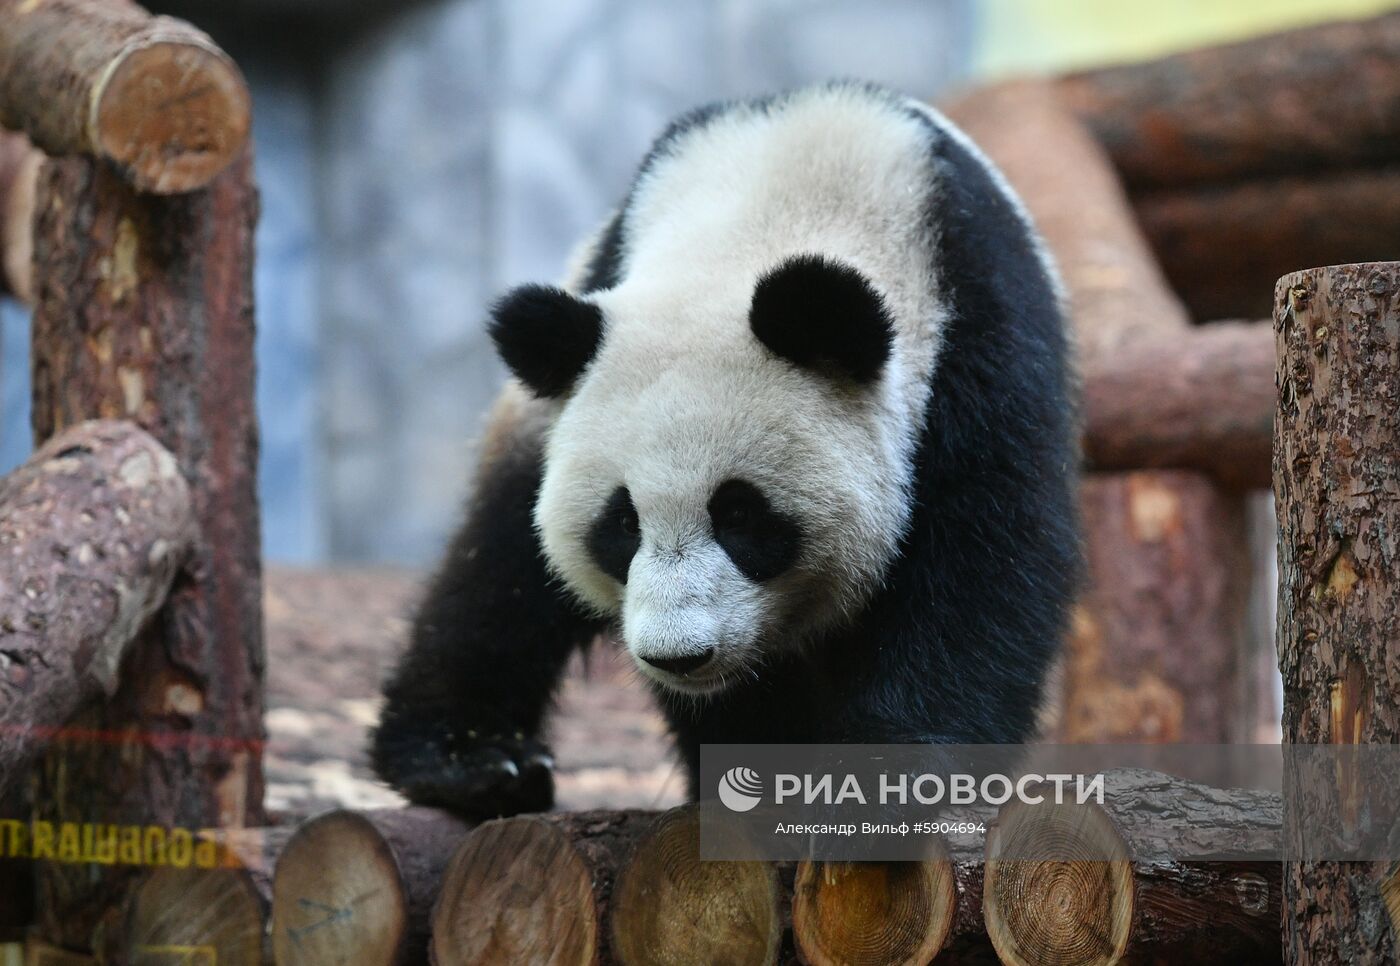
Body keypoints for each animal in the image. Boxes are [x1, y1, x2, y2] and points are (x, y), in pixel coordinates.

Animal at [366, 80, 1075, 812]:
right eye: (622, 523)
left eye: (739, 514)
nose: (678, 656)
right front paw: (756, 767)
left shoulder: (975, 340)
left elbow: (977, 565)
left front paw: (886, 776)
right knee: (498, 566)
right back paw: (471, 759)